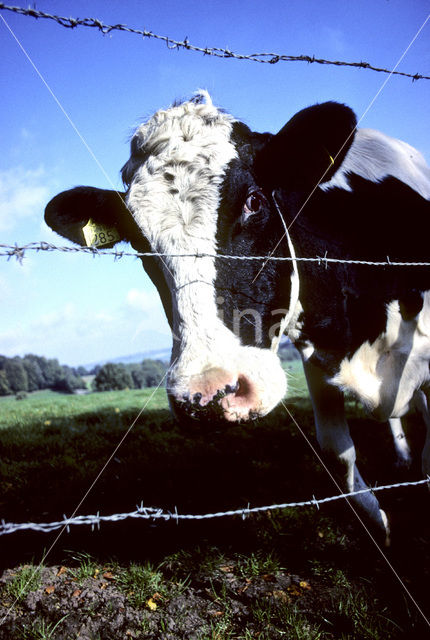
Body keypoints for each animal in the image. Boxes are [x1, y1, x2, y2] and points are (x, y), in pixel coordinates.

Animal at [44, 91, 430, 540]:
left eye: (254, 201)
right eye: (139, 240)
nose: (208, 393)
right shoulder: (319, 358)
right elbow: (338, 453)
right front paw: (382, 529)